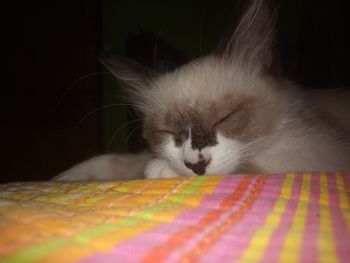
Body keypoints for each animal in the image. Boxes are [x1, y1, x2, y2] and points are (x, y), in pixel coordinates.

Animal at [52, 0, 350, 183]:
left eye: (226, 118)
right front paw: (64, 178)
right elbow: (125, 160)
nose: (196, 165)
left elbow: (249, 166)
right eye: (167, 132)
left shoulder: (318, 152)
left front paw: (160, 170)